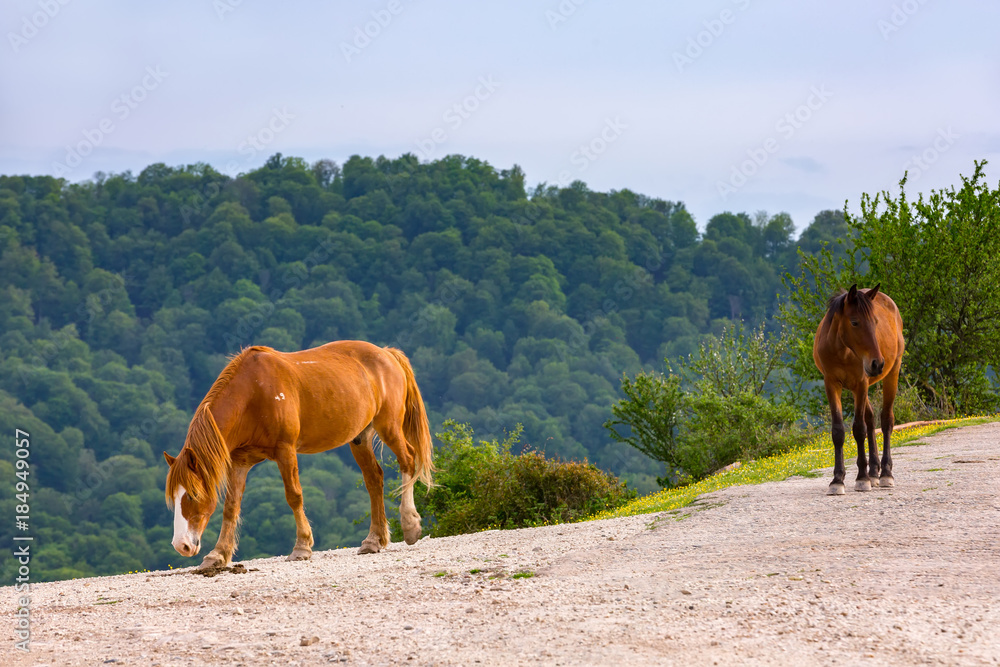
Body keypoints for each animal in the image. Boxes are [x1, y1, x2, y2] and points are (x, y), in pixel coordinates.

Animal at [163, 341, 434, 570]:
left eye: (193, 495)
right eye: (173, 498)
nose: (181, 546)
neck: (253, 392)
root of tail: (387, 353)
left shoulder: (285, 451)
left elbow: (294, 496)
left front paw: (302, 547)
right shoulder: (240, 461)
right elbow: (231, 506)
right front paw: (218, 554)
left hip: (388, 426)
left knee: (408, 461)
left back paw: (410, 525)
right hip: (360, 438)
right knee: (374, 480)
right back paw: (373, 540)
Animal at [813, 284, 904, 495]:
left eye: (875, 322)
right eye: (855, 322)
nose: (877, 363)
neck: (842, 350)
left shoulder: (860, 384)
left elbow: (859, 429)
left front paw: (861, 478)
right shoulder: (832, 384)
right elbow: (838, 431)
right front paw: (837, 480)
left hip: (892, 373)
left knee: (886, 420)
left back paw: (885, 473)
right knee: (871, 420)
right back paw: (874, 472)